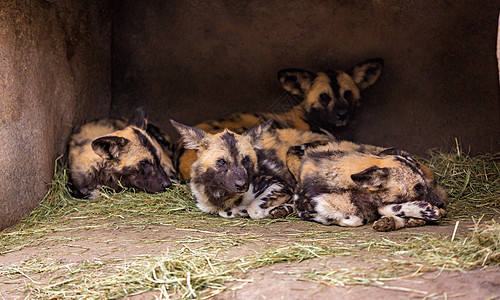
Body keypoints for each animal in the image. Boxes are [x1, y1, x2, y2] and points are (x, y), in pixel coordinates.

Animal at [170, 119, 334, 220]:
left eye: (246, 160)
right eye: (222, 162)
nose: (242, 185)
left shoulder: (281, 185)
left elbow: (253, 209)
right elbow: (226, 212)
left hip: (293, 153)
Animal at [288, 142, 448, 231]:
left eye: (423, 184)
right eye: (418, 187)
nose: (440, 203)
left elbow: (382, 208)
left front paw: (421, 211)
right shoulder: (306, 211)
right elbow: (355, 219)